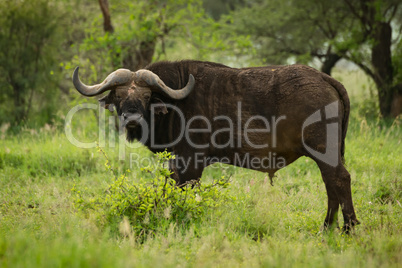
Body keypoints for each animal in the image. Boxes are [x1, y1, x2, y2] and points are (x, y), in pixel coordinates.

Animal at [71, 59, 358, 231]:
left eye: (145, 95)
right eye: (119, 95)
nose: (131, 118)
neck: (175, 103)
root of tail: (325, 79)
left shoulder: (192, 162)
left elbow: (186, 190)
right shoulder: (176, 162)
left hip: (323, 151)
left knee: (339, 179)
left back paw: (348, 227)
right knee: (331, 184)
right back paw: (327, 227)